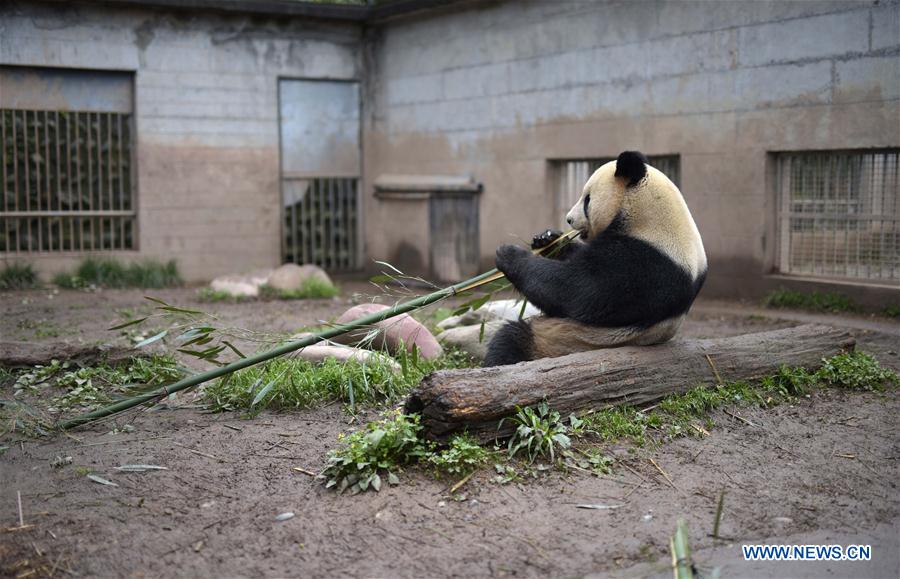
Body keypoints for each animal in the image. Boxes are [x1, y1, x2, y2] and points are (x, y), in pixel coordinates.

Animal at [483, 151, 707, 367]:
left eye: (587, 199)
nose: (569, 219)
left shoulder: (648, 265)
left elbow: (578, 290)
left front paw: (509, 254)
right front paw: (548, 239)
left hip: (563, 341)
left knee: (511, 340)